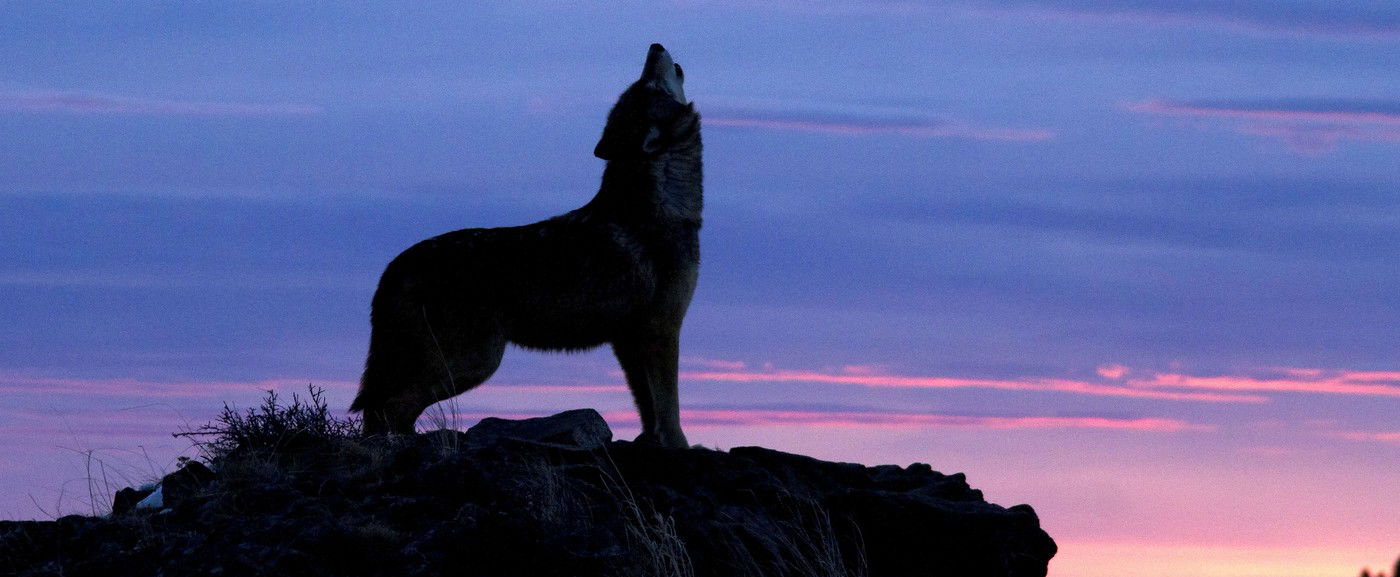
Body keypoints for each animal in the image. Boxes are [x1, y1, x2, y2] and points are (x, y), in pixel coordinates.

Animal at [350, 46, 700, 450]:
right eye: (645, 84)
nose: (654, 46)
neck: (665, 201)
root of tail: (393, 267)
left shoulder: (628, 340)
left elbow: (647, 406)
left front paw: (650, 441)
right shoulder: (661, 329)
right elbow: (669, 405)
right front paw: (680, 447)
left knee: (379, 410)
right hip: (473, 364)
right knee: (389, 409)